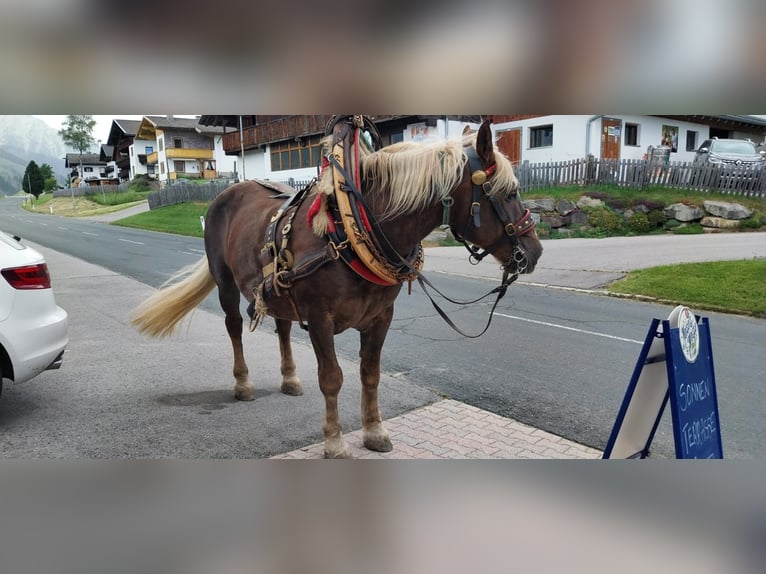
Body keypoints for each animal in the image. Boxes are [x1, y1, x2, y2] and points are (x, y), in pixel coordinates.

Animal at [130, 119, 540, 462]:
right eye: (509, 192)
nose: (534, 252)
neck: (350, 226)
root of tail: (228, 193)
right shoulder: (319, 318)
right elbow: (332, 378)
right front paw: (334, 441)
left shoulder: (381, 317)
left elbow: (369, 374)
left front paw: (374, 432)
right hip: (226, 281)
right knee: (233, 327)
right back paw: (243, 383)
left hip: (279, 291)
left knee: (281, 327)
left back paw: (290, 379)